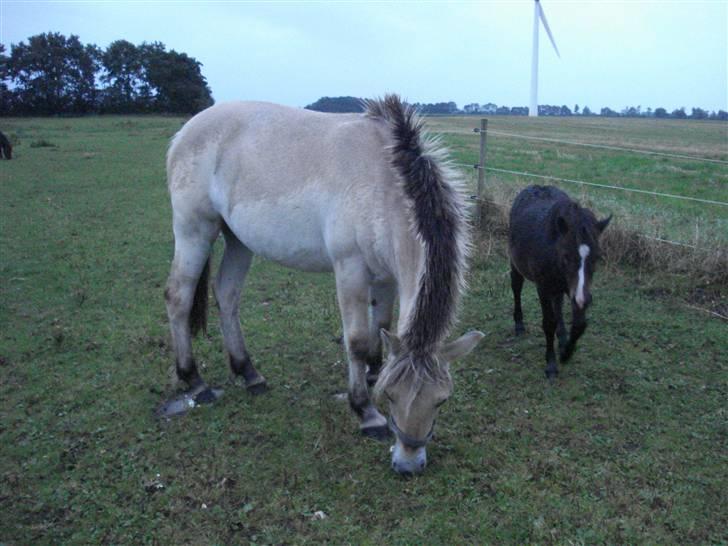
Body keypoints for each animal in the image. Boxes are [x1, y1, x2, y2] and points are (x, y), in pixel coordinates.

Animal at [162, 95, 486, 474]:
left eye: (441, 401)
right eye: (392, 397)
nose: (408, 464)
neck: (383, 182)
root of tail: (185, 132)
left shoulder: (386, 276)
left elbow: (381, 326)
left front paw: (373, 373)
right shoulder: (350, 269)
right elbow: (357, 341)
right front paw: (365, 411)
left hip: (238, 240)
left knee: (227, 295)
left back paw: (249, 373)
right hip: (194, 230)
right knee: (178, 297)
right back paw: (195, 381)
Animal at [510, 185, 612, 376]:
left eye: (597, 257)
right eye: (566, 256)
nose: (585, 299)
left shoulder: (575, 289)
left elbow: (579, 324)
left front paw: (566, 353)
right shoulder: (543, 287)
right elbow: (548, 323)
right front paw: (551, 364)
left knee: (557, 303)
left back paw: (563, 338)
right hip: (516, 264)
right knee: (516, 287)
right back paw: (519, 324)